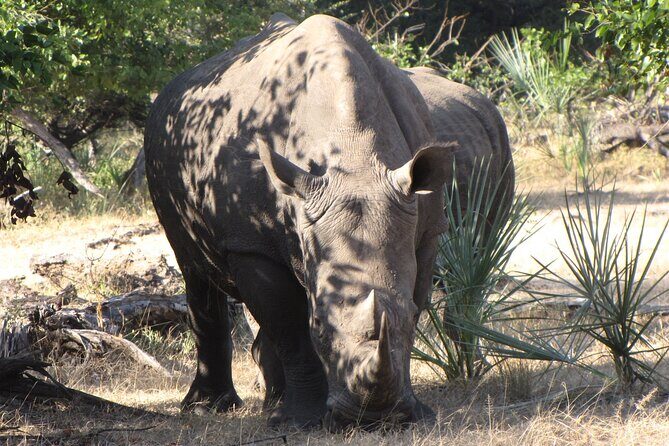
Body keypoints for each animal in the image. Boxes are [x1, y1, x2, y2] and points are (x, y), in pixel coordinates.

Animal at [144, 13, 513, 428]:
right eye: (319, 322)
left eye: (408, 316)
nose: (374, 418)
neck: (353, 154)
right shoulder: (250, 243)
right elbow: (289, 326)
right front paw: (301, 421)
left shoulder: (426, 230)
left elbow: (414, 297)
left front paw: (416, 413)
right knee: (194, 269)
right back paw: (211, 408)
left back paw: (272, 404)